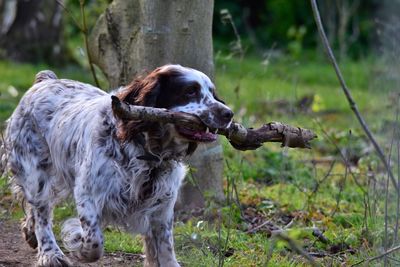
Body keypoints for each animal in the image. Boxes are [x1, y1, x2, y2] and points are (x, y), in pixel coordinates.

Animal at [3, 65, 233, 267]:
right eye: (190, 91)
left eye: (213, 93)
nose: (228, 113)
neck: (148, 152)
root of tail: (45, 81)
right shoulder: (88, 193)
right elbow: (93, 244)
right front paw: (75, 238)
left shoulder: (163, 205)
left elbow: (165, 247)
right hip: (36, 175)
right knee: (42, 214)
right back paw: (50, 254)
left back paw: (30, 232)